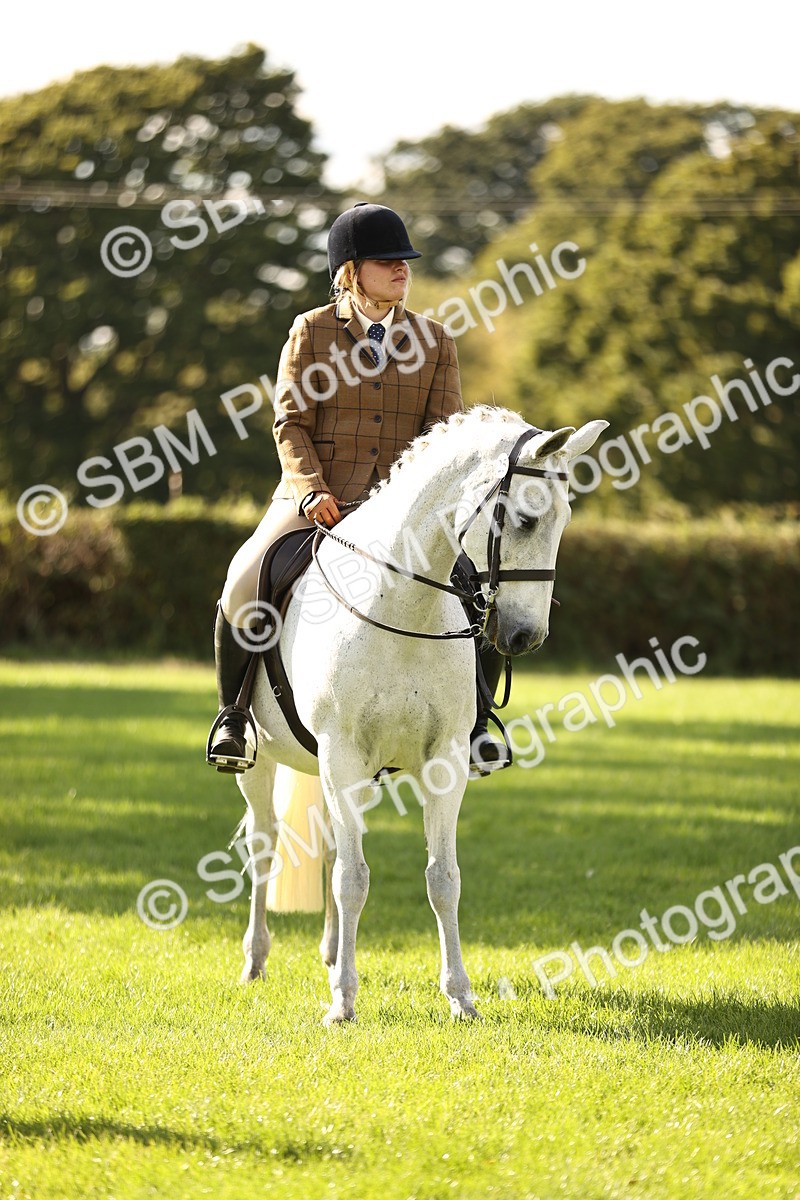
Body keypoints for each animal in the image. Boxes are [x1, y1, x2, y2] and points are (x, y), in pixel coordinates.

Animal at [233, 405, 607, 1024]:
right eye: (526, 520)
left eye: (566, 520)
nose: (525, 637)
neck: (401, 602)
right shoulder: (342, 755)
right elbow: (353, 879)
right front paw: (343, 1004)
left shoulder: (443, 760)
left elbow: (442, 879)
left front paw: (460, 997)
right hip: (263, 764)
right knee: (266, 844)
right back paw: (256, 962)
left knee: (329, 843)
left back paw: (331, 954)